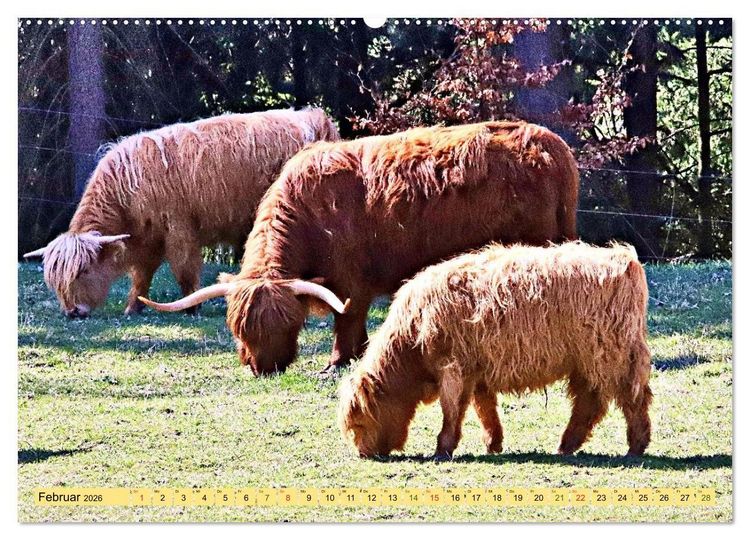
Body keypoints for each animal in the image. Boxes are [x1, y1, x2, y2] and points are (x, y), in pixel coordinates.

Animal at [23, 108, 339, 318]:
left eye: (83, 271)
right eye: (54, 282)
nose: (72, 312)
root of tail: (316, 119)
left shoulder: (178, 228)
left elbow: (184, 269)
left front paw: (192, 307)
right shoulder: (147, 239)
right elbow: (142, 276)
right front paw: (133, 307)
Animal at [139, 121, 580, 374]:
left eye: (287, 324)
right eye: (239, 328)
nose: (263, 367)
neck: (310, 216)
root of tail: (549, 142)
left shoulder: (350, 279)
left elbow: (346, 318)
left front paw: (336, 362)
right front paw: (358, 355)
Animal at [338, 242, 652, 459]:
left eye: (361, 422)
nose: (364, 454)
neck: (412, 338)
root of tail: (625, 260)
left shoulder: (453, 367)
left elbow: (451, 409)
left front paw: (442, 449)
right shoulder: (476, 371)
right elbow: (484, 409)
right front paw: (493, 444)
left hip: (612, 355)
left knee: (633, 397)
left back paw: (635, 447)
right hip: (585, 362)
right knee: (590, 402)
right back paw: (566, 445)